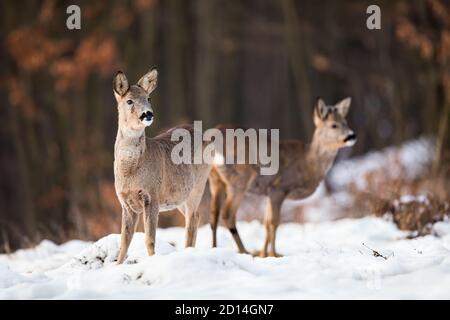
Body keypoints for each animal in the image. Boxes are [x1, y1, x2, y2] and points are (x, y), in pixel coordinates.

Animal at [112, 69, 211, 264]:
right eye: (129, 100)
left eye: (148, 98)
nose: (148, 114)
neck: (130, 172)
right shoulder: (125, 202)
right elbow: (124, 241)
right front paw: (117, 265)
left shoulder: (152, 195)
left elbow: (149, 238)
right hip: (180, 196)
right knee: (194, 217)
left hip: (198, 185)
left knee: (192, 219)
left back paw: (188, 252)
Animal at [209, 97, 356, 258]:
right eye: (334, 125)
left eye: (346, 122)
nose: (352, 135)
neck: (308, 164)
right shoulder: (279, 188)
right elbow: (274, 222)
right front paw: (273, 255)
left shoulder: (268, 192)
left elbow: (266, 223)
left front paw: (264, 254)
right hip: (240, 178)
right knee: (227, 214)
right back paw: (244, 251)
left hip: (214, 179)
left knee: (213, 214)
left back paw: (214, 248)